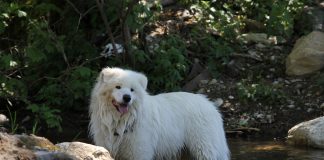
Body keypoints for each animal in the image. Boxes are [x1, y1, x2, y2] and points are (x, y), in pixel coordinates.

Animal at [89, 67, 230, 159]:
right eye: (117, 87)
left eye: (132, 90)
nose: (127, 98)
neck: (121, 121)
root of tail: (211, 105)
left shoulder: (139, 152)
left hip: (204, 148)